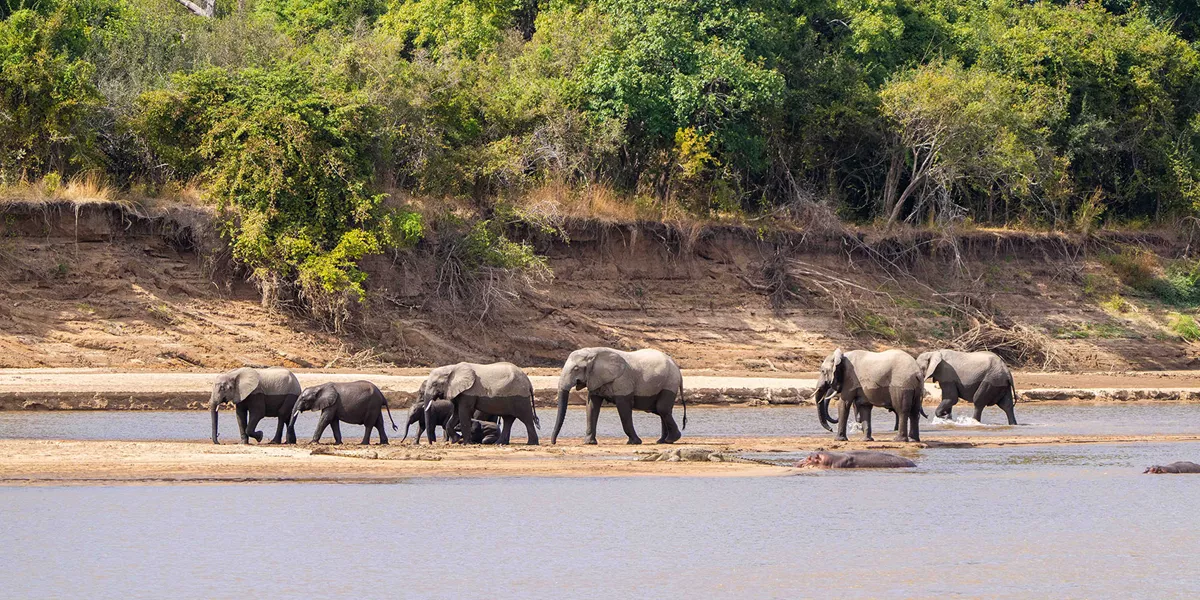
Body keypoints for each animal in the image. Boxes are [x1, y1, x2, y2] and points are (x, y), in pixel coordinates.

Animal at [551, 347, 686, 445]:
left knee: (661, 408)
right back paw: (662, 441)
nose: (554, 442)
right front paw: (589, 443)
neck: (594, 352)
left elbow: (623, 407)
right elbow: (592, 406)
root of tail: (677, 368)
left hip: (669, 382)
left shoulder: (622, 380)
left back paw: (671, 439)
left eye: (576, 369)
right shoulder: (595, 379)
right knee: (660, 410)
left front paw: (634, 442)